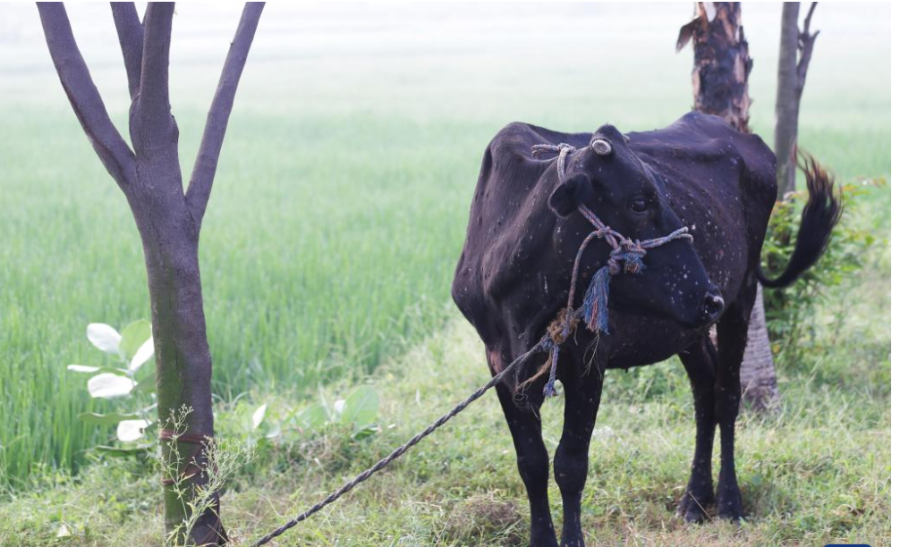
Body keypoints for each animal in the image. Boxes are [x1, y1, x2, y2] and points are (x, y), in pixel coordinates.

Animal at [454, 112, 840, 547]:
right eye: (640, 202)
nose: (709, 297)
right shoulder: (501, 364)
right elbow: (531, 463)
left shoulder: (588, 361)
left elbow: (570, 464)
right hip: (687, 329)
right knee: (704, 394)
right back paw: (694, 500)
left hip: (741, 296)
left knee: (726, 395)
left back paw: (728, 502)